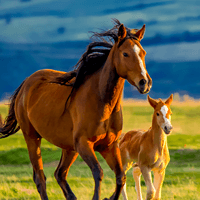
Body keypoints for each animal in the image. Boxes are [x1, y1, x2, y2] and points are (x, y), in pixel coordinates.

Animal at [0, 19, 152, 200]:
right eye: (125, 54)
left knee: (60, 174)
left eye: (143, 53)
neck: (102, 102)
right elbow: (98, 172)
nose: (145, 83)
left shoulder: (108, 146)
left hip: (68, 148)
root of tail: (26, 84)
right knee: (40, 177)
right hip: (32, 137)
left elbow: (120, 177)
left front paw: (108, 197)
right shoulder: (84, 144)